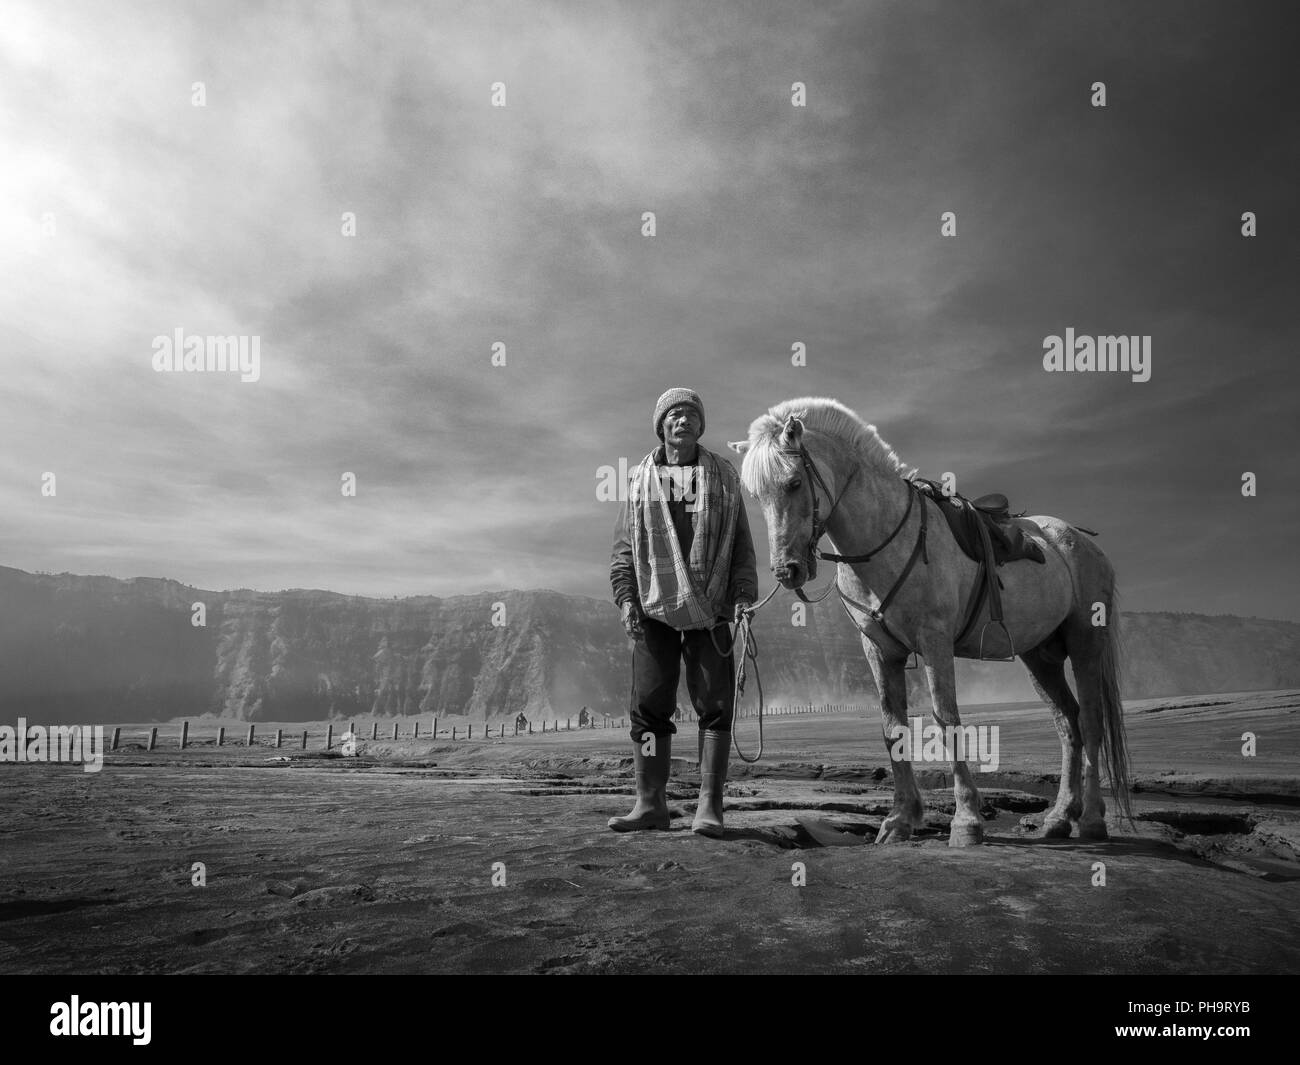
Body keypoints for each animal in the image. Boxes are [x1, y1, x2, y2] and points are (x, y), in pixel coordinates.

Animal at [730, 397, 1131, 846]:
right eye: (757, 496)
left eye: (795, 482)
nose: (788, 571)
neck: (886, 538)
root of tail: (1079, 541)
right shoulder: (879, 649)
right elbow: (893, 727)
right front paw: (900, 819)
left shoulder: (935, 641)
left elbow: (947, 720)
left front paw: (966, 821)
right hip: (1039, 656)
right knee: (1068, 724)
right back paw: (1059, 817)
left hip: (1085, 642)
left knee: (1091, 721)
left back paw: (1092, 819)